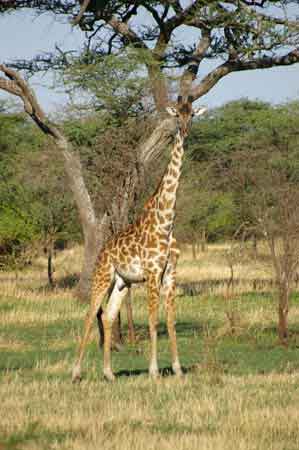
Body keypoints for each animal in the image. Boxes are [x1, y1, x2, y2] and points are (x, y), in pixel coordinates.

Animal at [72, 96, 209, 384]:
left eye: (192, 114)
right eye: (176, 115)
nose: (184, 131)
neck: (166, 222)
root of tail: (102, 249)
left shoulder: (170, 273)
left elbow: (170, 320)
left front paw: (178, 369)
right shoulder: (152, 273)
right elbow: (153, 319)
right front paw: (154, 371)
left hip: (122, 283)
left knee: (109, 316)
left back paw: (109, 373)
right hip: (102, 276)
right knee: (91, 314)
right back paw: (76, 373)